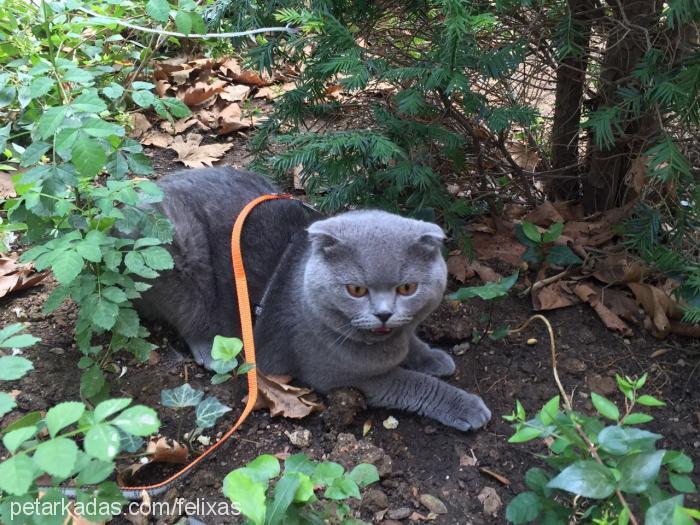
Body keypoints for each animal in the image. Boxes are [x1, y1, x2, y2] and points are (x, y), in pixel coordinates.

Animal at [138, 167, 492, 430]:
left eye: (407, 288)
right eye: (356, 290)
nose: (384, 314)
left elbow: (413, 346)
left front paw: (434, 358)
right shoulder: (344, 377)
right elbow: (413, 383)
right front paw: (467, 406)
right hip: (175, 248)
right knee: (190, 317)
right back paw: (214, 352)